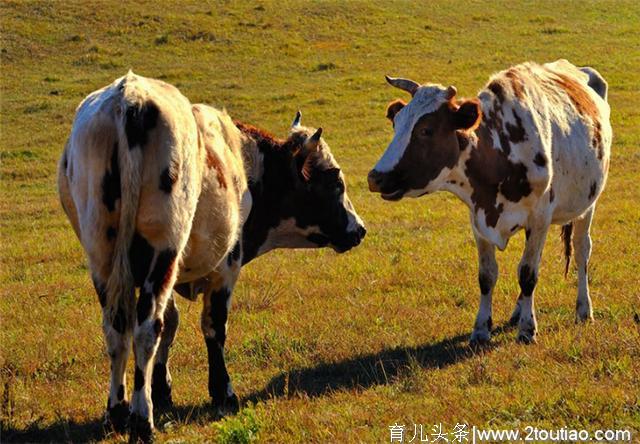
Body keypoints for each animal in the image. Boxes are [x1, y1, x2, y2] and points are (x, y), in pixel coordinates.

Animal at [57, 72, 364, 440]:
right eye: (335, 182)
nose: (359, 229)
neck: (242, 162)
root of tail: (131, 95)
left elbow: (172, 323)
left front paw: (162, 389)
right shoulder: (226, 266)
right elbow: (214, 327)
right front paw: (222, 391)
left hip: (103, 256)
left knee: (117, 328)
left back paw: (117, 411)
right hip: (163, 249)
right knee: (146, 329)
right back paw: (142, 419)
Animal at [364, 59, 608, 344]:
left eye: (426, 130)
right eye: (397, 124)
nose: (376, 177)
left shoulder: (540, 217)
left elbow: (528, 274)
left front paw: (527, 329)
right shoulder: (478, 218)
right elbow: (487, 275)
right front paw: (481, 329)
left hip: (587, 205)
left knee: (581, 251)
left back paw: (583, 309)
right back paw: (517, 312)